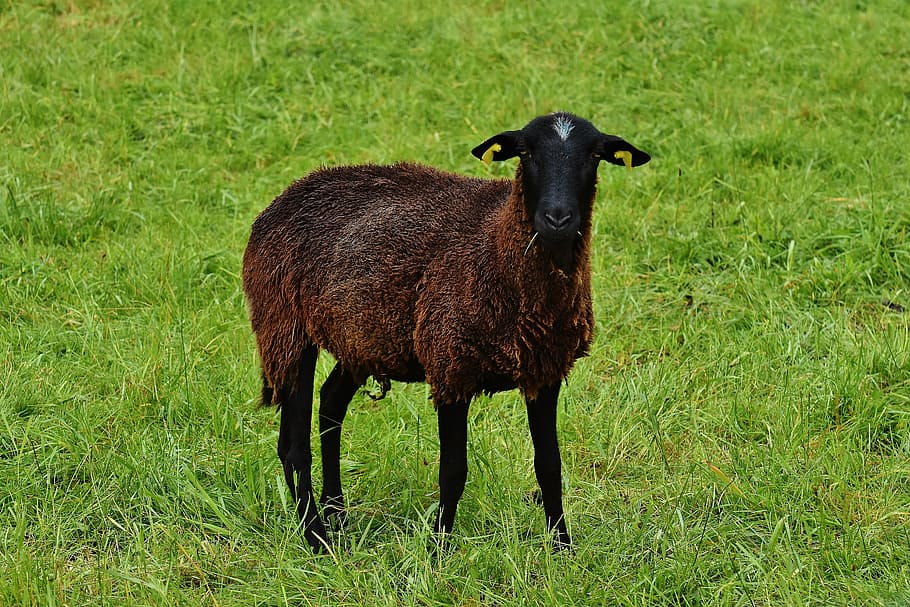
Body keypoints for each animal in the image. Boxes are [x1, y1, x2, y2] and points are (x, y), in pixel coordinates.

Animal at [241, 112, 650, 552]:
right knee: (293, 445)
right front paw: (438, 547)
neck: (497, 247)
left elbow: (549, 466)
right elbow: (453, 469)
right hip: (283, 326)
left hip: (362, 338)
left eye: (594, 155)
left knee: (331, 405)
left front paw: (562, 546)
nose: (557, 218)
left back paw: (337, 515)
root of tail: (289, 193)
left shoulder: (545, 370)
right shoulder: (451, 364)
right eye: (525, 153)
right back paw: (317, 535)